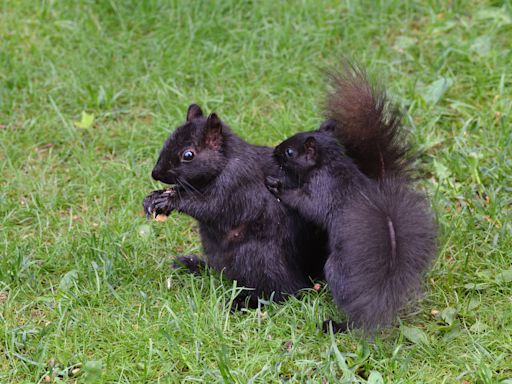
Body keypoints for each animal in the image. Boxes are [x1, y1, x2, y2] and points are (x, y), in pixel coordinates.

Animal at [143, 105, 328, 308]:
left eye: (188, 155)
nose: (156, 173)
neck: (225, 162)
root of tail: (307, 274)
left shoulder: (236, 183)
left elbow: (210, 206)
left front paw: (169, 200)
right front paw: (154, 198)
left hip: (258, 258)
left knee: (285, 293)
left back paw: (243, 303)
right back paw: (194, 266)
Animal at [266, 64, 438, 332]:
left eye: (290, 152)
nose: (275, 150)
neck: (328, 162)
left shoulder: (322, 190)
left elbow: (306, 204)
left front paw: (277, 186)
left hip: (336, 271)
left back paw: (338, 325)